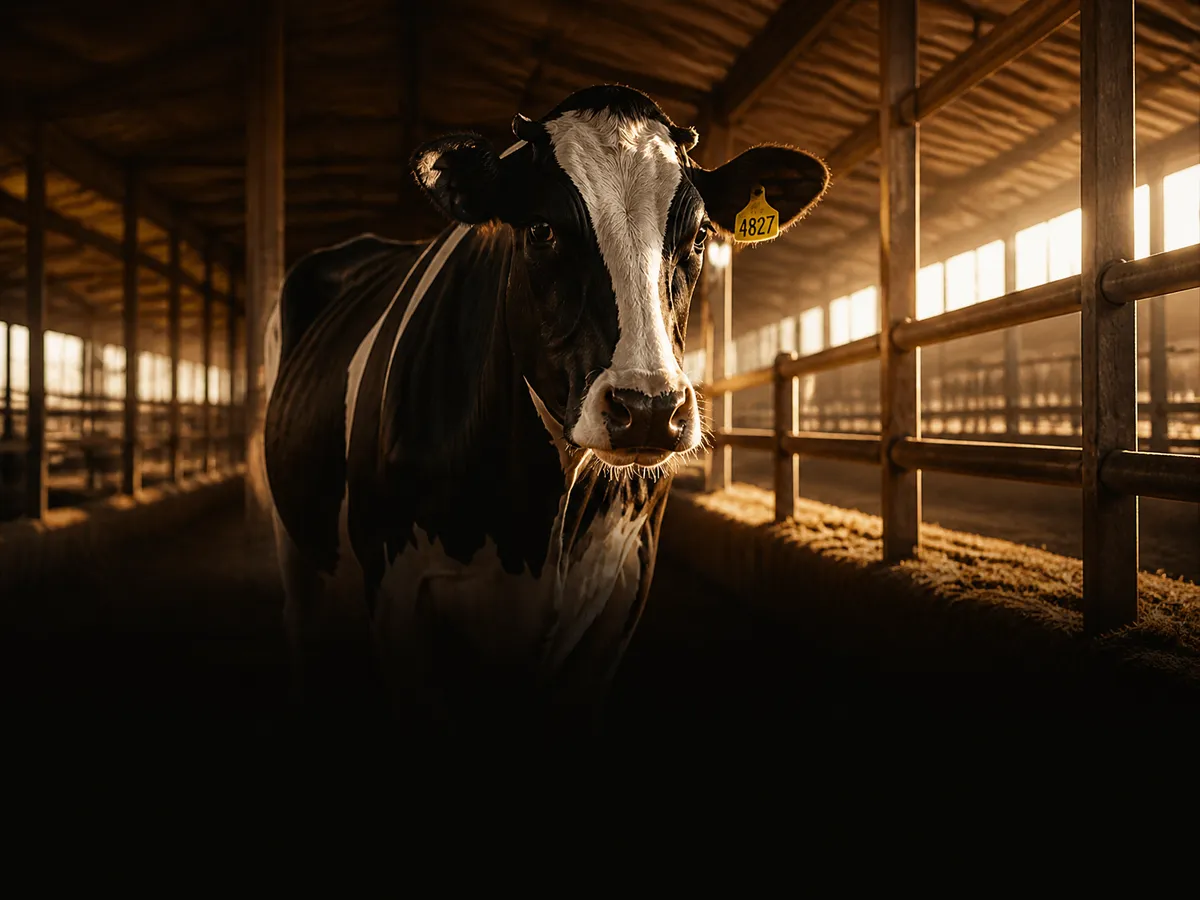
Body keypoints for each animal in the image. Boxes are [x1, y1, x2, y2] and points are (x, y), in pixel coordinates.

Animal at [264, 84, 829, 735]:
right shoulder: (395, 597)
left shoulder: (622, 594)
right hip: (296, 553)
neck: (536, 526)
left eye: (698, 237)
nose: (649, 407)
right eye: (540, 230)